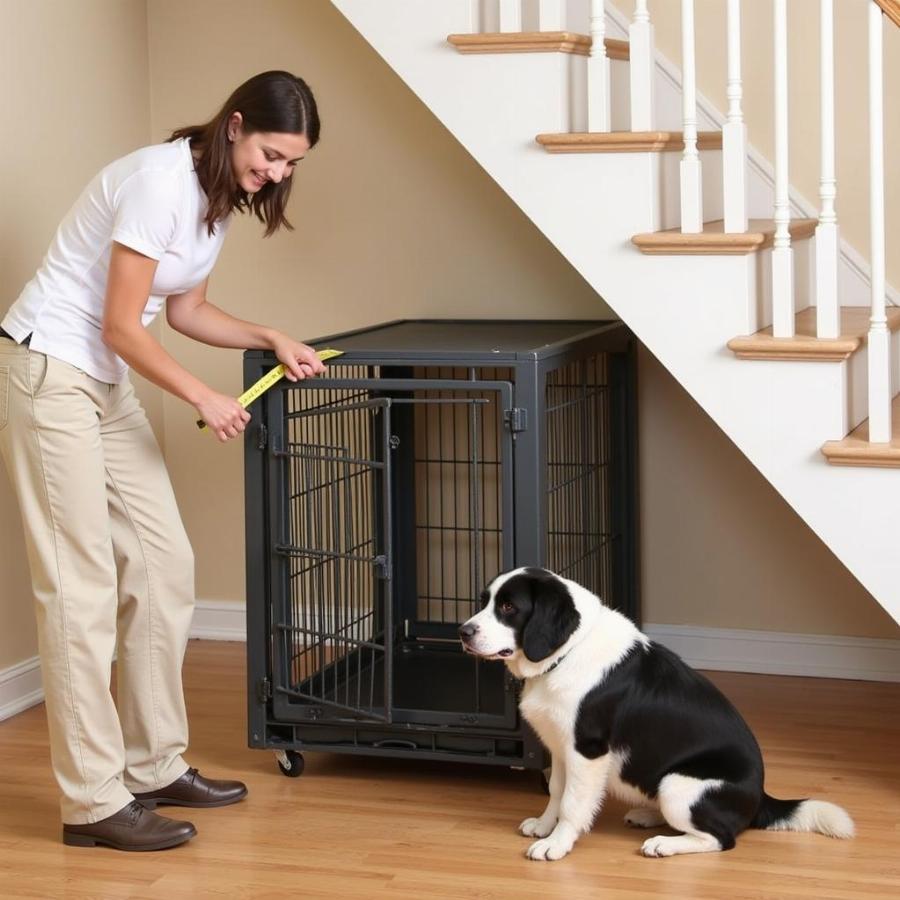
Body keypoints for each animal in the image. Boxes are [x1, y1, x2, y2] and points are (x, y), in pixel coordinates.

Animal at [460, 568, 856, 860]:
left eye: (508, 608)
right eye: (484, 601)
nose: (463, 632)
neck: (568, 652)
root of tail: (761, 796)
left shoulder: (586, 751)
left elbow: (573, 802)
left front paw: (555, 844)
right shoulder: (559, 746)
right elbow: (557, 790)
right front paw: (545, 827)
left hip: (677, 784)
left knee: (721, 839)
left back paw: (665, 843)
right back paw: (648, 816)